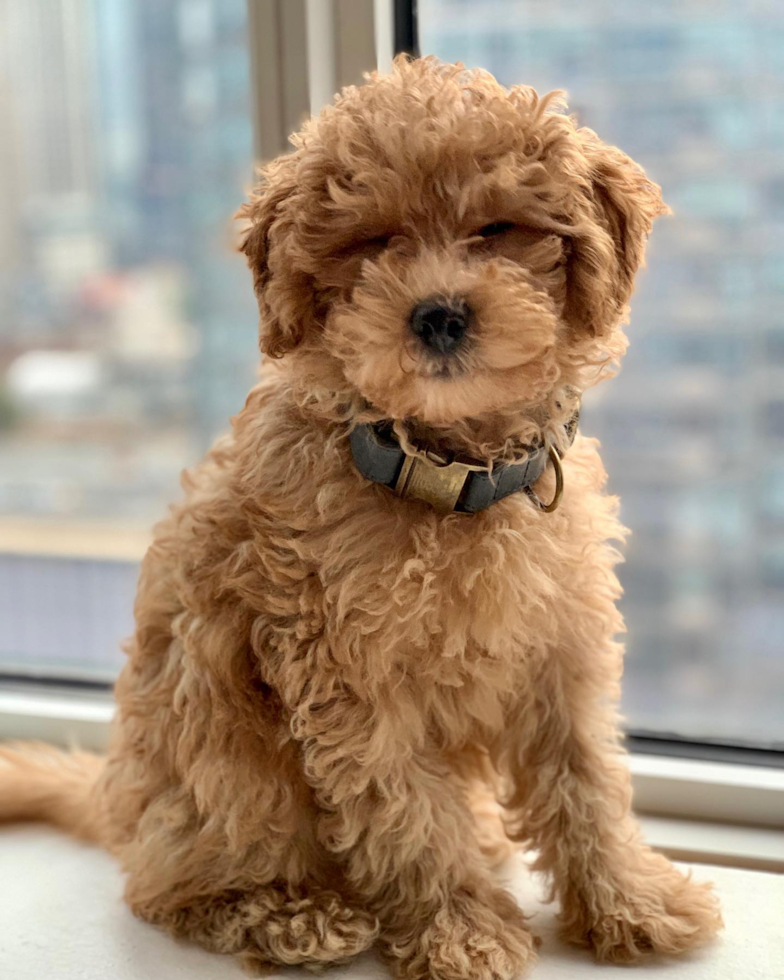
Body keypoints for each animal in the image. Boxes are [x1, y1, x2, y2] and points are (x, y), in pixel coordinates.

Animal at [1, 57, 724, 976]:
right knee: (169, 882)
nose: (439, 314)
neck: (448, 476)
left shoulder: (561, 647)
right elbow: (406, 809)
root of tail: (116, 798)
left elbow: (587, 778)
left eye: (498, 227)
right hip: (218, 747)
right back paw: (287, 913)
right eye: (375, 242)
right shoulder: (346, 673)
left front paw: (629, 900)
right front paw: (459, 928)